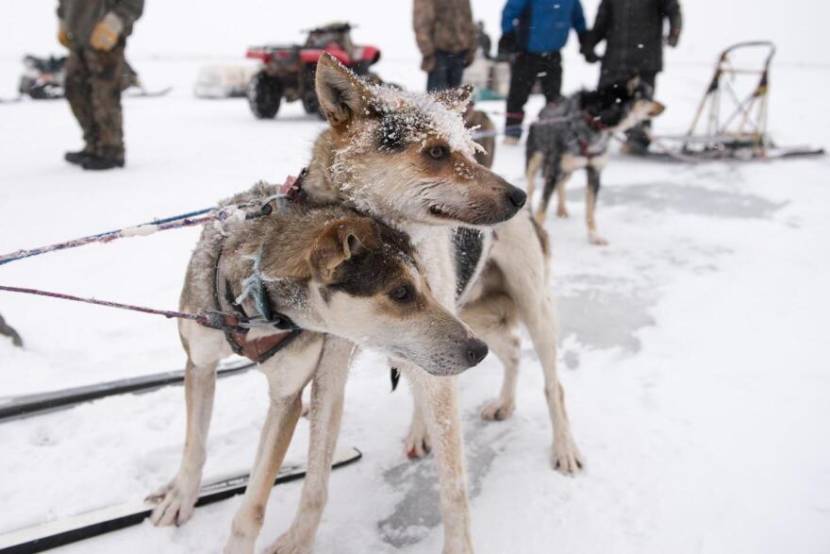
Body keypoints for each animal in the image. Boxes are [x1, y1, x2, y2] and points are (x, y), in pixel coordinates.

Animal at [153, 54, 584, 552]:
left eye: (469, 152)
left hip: (529, 308)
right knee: (508, 350)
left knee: (552, 383)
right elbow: (316, 474)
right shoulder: (331, 366)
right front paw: (300, 538)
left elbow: (454, 487)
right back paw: (477, 412)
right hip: (469, 320)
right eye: (437, 152)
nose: (519, 195)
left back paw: (564, 447)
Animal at [528, 77, 668, 244]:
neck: (594, 121)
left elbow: (590, 209)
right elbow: (542, 206)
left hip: (568, 171)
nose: (664, 106)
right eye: (648, 97)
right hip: (536, 161)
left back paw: (562, 209)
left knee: (561, 185)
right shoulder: (554, 171)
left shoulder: (595, 172)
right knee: (531, 186)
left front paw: (594, 235)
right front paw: (536, 233)